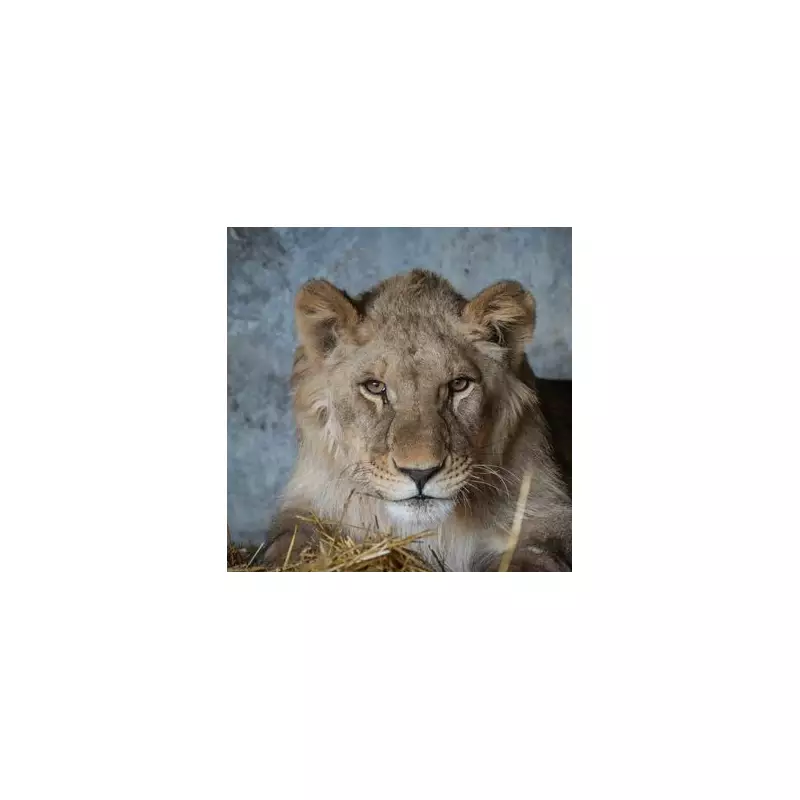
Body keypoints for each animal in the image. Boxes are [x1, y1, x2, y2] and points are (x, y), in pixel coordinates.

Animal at [263, 269, 572, 572]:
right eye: (375, 387)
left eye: (459, 385)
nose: (420, 473)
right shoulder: (305, 507)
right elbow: (287, 548)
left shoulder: (544, 518)